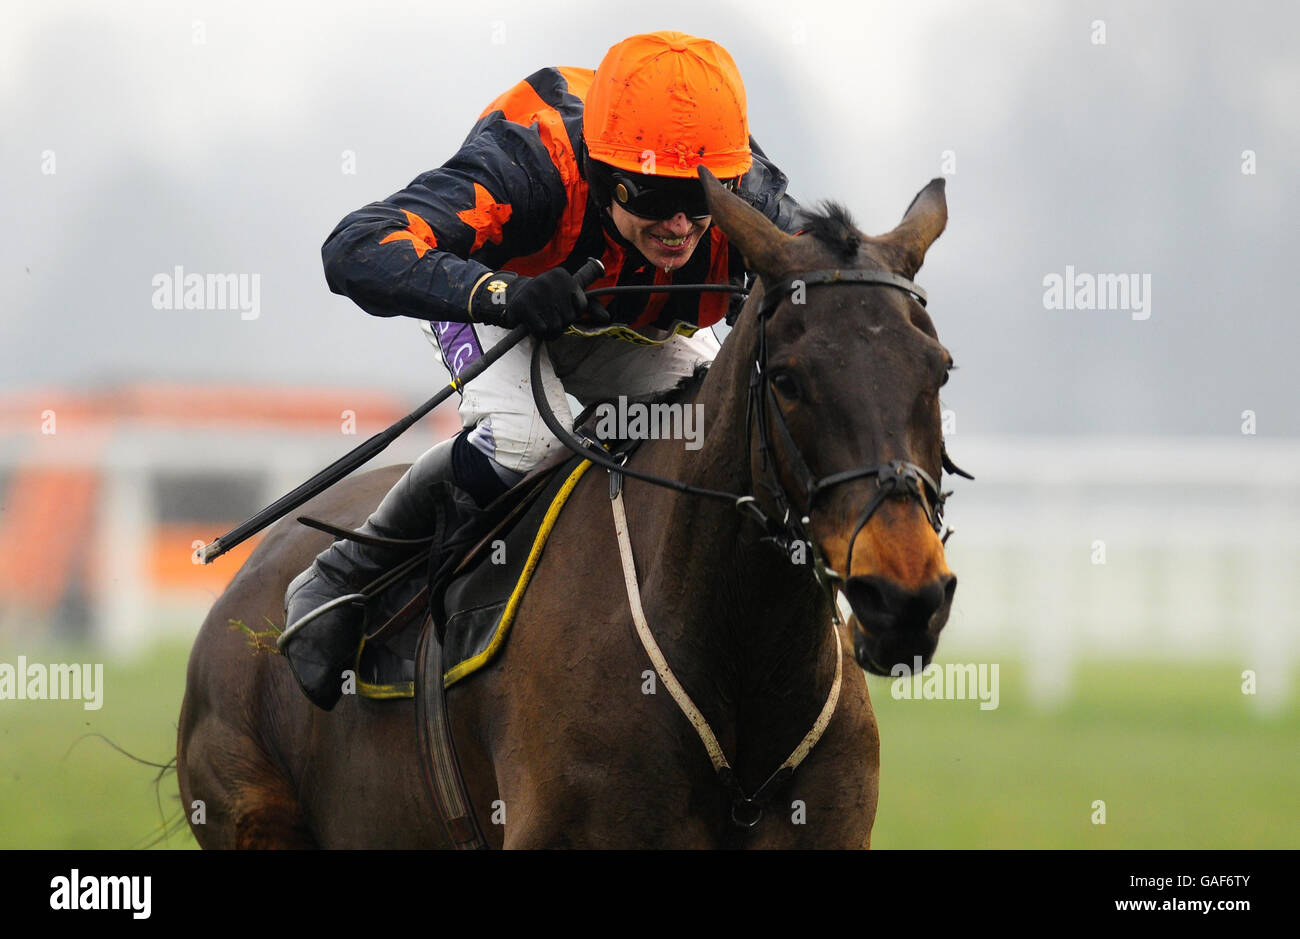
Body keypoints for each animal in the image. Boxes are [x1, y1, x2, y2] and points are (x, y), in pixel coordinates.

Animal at [175, 167, 956, 847]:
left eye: (941, 369)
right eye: (789, 380)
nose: (903, 596)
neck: (737, 660)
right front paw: (540, 297)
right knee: (509, 439)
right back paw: (324, 600)